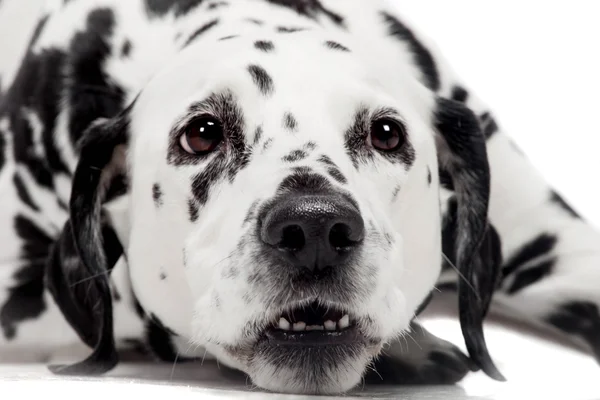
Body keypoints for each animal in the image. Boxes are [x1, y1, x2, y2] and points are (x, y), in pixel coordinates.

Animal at [1, 0, 600, 396]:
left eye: (387, 133)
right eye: (202, 133)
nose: (313, 229)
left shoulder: (566, 249)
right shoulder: (19, 297)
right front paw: (418, 344)